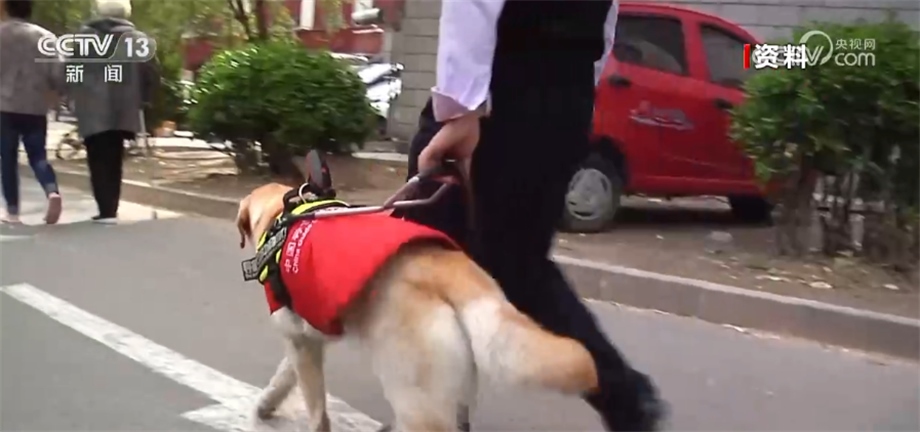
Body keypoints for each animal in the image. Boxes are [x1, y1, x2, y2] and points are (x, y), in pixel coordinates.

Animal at [236, 182, 600, 432]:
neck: (283, 217)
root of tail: (446, 268)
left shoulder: (300, 341)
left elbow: (315, 410)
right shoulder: (306, 337)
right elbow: (284, 377)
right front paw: (266, 404)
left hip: (415, 395)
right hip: (455, 388)